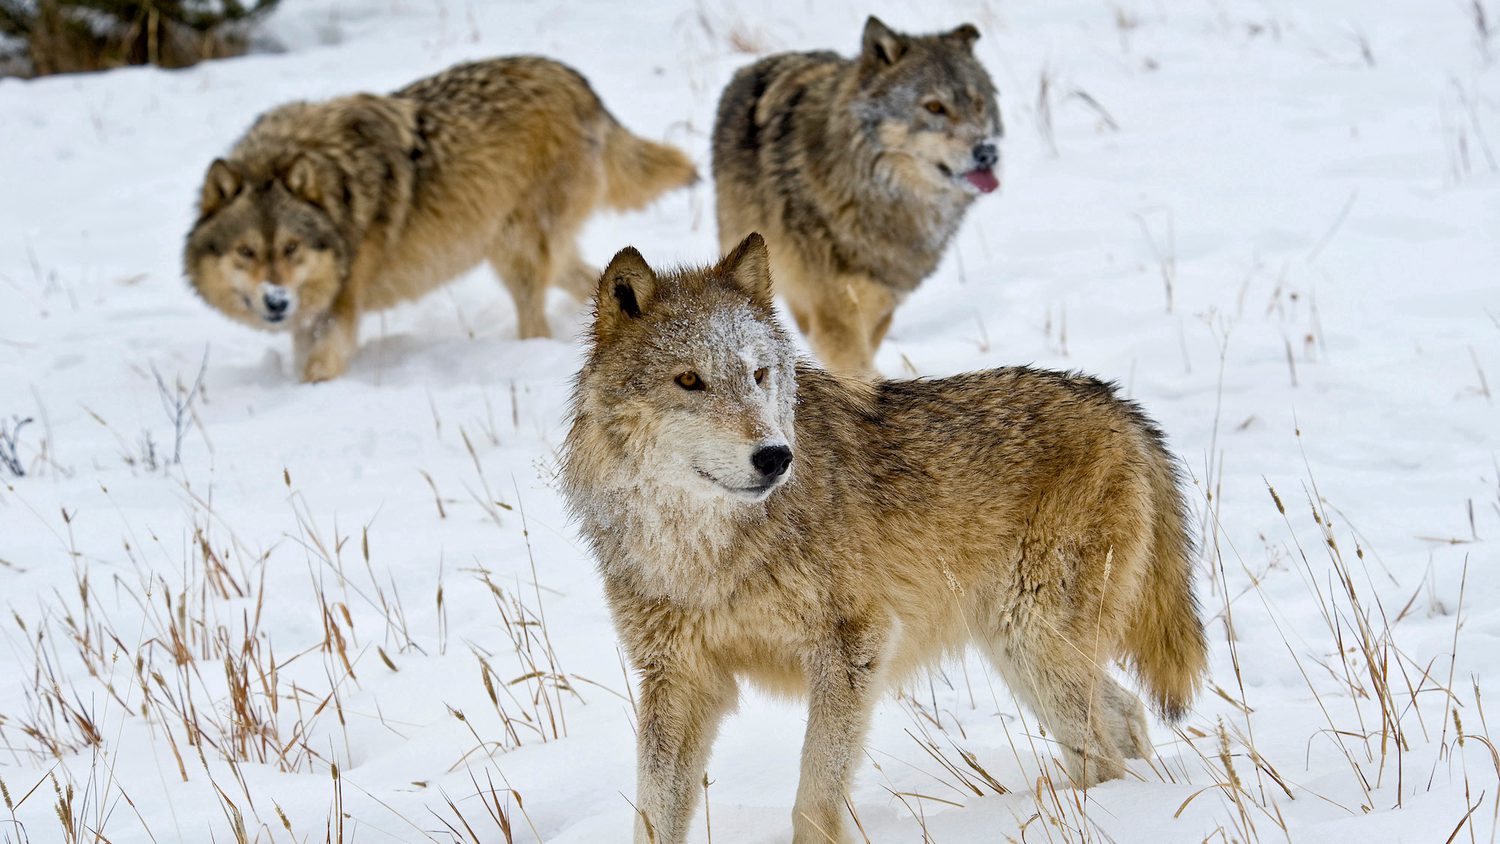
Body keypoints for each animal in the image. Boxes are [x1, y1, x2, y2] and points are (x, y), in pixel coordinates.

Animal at [184, 56, 696, 382]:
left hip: (515, 255)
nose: (276, 302)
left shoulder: (339, 313)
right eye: (247, 252)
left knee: (536, 317)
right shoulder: (308, 319)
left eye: (291, 248)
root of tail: (579, 83)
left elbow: (318, 371)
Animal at [560, 234, 1208, 844]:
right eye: (689, 380)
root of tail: (1117, 403)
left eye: (758, 374)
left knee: (1105, 751)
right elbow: (653, 817)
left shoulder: (856, 645)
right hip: (1022, 652)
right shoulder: (678, 678)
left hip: (1032, 642)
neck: (705, 551)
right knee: (1125, 717)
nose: (775, 457)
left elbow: (815, 798)